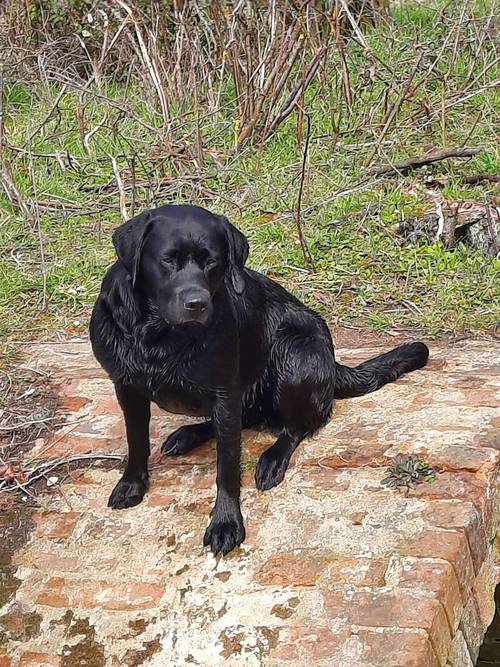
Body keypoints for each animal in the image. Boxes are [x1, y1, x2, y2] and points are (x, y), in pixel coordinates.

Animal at [89, 205, 426, 560]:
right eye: (168, 260)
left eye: (213, 261)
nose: (197, 304)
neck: (160, 335)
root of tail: (333, 363)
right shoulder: (126, 387)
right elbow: (136, 441)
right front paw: (132, 484)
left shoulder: (224, 392)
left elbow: (227, 466)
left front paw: (226, 522)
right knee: (246, 418)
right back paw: (188, 434)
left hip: (295, 353)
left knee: (300, 424)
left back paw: (272, 459)